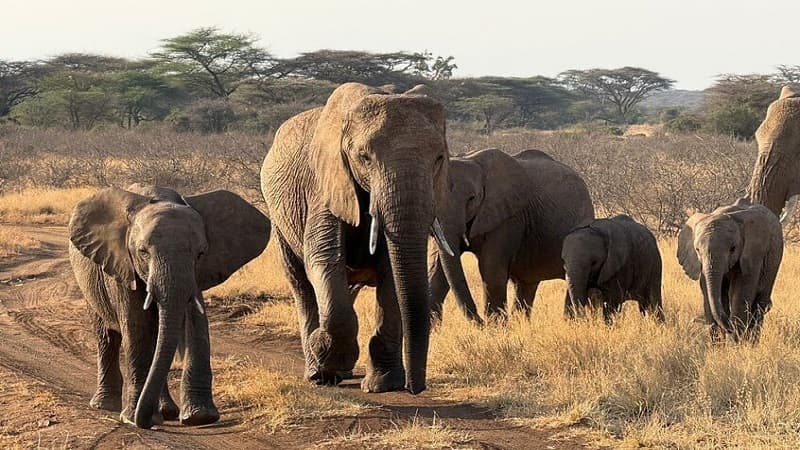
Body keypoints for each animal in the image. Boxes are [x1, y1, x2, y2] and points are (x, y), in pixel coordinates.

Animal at [68, 184, 270, 429]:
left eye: (201, 253)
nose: (144, 421)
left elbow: (195, 323)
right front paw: (133, 419)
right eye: (143, 253)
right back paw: (107, 405)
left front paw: (200, 417)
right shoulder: (123, 266)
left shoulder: (196, 274)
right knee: (107, 338)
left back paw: (166, 411)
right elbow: (137, 327)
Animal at [261, 82, 452, 394]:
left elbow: (391, 273)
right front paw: (323, 351)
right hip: (279, 220)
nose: (415, 388)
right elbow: (324, 258)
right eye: (364, 157)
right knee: (301, 284)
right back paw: (317, 371)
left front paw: (383, 384)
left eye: (439, 159)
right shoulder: (325, 185)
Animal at [428, 148, 594, 323]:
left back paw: (572, 322)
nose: (481, 322)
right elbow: (437, 273)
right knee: (526, 284)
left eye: (472, 198)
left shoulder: (508, 217)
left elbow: (492, 271)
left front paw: (496, 327)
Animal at [677, 198, 783, 342]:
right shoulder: (702, 266)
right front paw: (718, 344)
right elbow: (709, 294)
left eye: (733, 249)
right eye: (697, 250)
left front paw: (736, 342)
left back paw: (752, 341)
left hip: (774, 262)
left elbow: (740, 293)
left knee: (760, 303)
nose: (729, 328)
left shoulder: (753, 254)